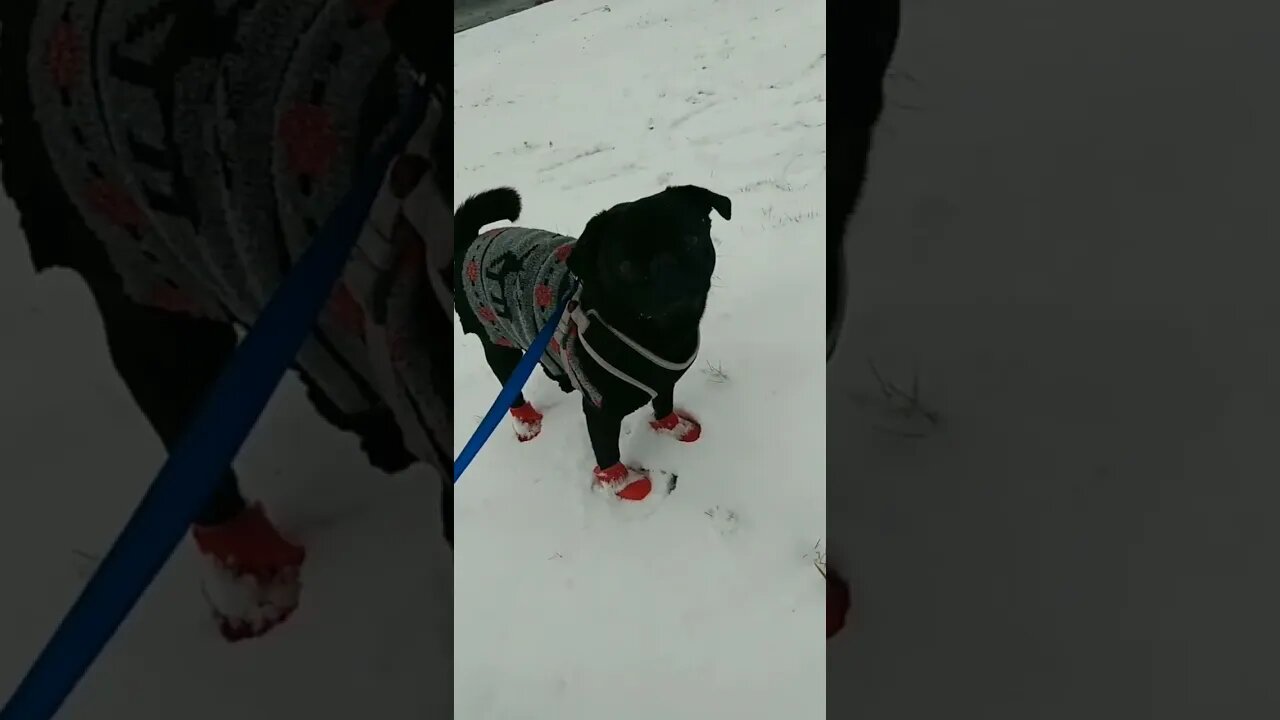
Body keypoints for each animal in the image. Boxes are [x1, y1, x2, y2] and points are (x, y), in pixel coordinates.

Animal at [455, 184, 732, 499]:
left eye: (690, 240)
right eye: (626, 266)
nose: (666, 267)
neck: (658, 334)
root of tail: (470, 242)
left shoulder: (663, 381)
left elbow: (664, 403)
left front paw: (675, 428)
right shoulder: (601, 411)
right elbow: (607, 451)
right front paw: (625, 485)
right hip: (499, 345)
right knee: (510, 388)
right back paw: (527, 424)